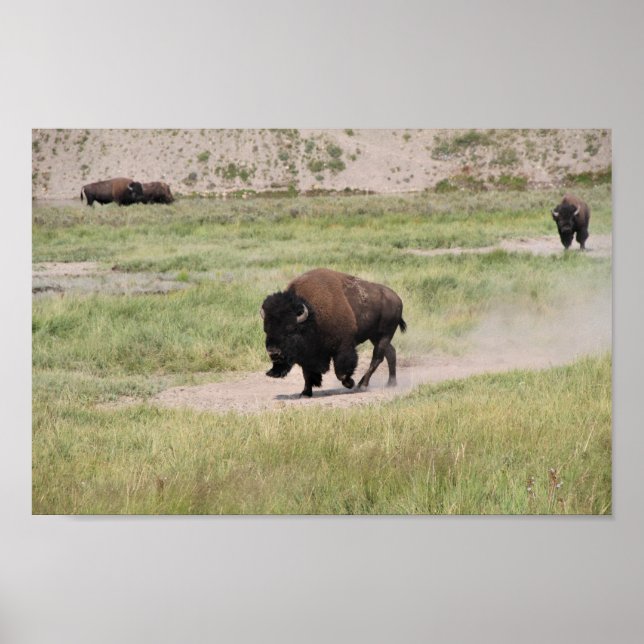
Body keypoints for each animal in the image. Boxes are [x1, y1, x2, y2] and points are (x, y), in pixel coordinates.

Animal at [260, 268, 407, 397]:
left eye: (290, 329)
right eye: (266, 330)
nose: (274, 352)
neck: (313, 317)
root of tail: (397, 299)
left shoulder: (344, 346)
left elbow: (341, 372)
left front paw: (350, 383)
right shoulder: (308, 354)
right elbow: (307, 373)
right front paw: (305, 393)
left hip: (384, 335)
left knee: (377, 358)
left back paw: (362, 385)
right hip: (375, 336)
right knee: (390, 353)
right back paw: (390, 383)